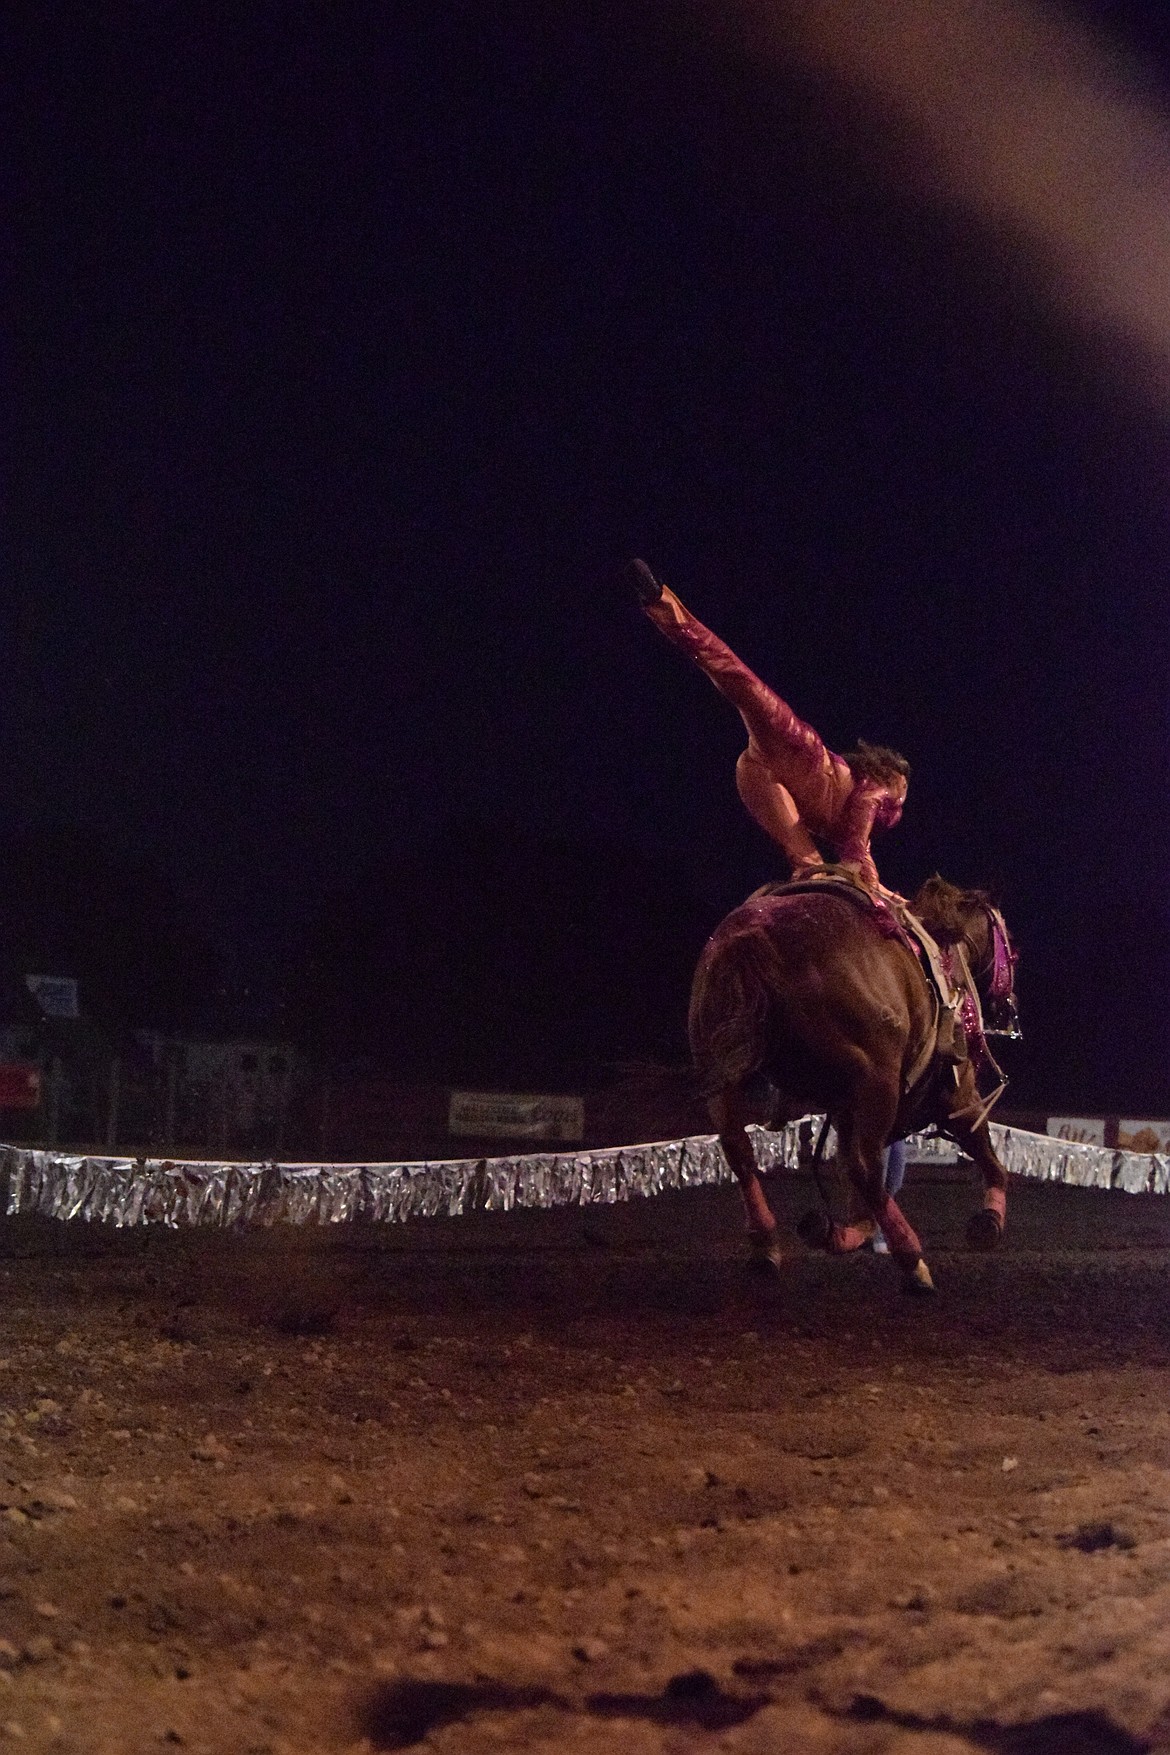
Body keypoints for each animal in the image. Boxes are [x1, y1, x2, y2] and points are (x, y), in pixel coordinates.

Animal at [691, 873, 1017, 1298]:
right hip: (877, 1084)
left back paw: (771, 1246)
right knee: (867, 1168)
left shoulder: (847, 1107)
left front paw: (847, 1230)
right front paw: (989, 1221)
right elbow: (989, 1156)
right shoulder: (956, 1095)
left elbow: (846, 1166)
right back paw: (911, 1262)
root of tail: (756, 933)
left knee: (740, 1152)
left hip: (725, 1082)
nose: (1007, 1004)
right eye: (1011, 948)